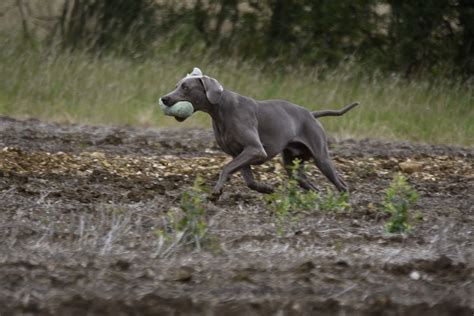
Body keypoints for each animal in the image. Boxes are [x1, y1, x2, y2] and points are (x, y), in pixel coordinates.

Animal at [160, 68, 360, 199]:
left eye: (185, 87)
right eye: (176, 85)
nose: (164, 98)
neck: (221, 110)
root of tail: (311, 114)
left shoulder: (255, 150)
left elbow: (226, 168)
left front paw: (216, 192)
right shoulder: (239, 153)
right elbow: (249, 181)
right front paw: (267, 189)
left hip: (321, 158)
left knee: (342, 185)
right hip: (293, 166)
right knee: (312, 186)